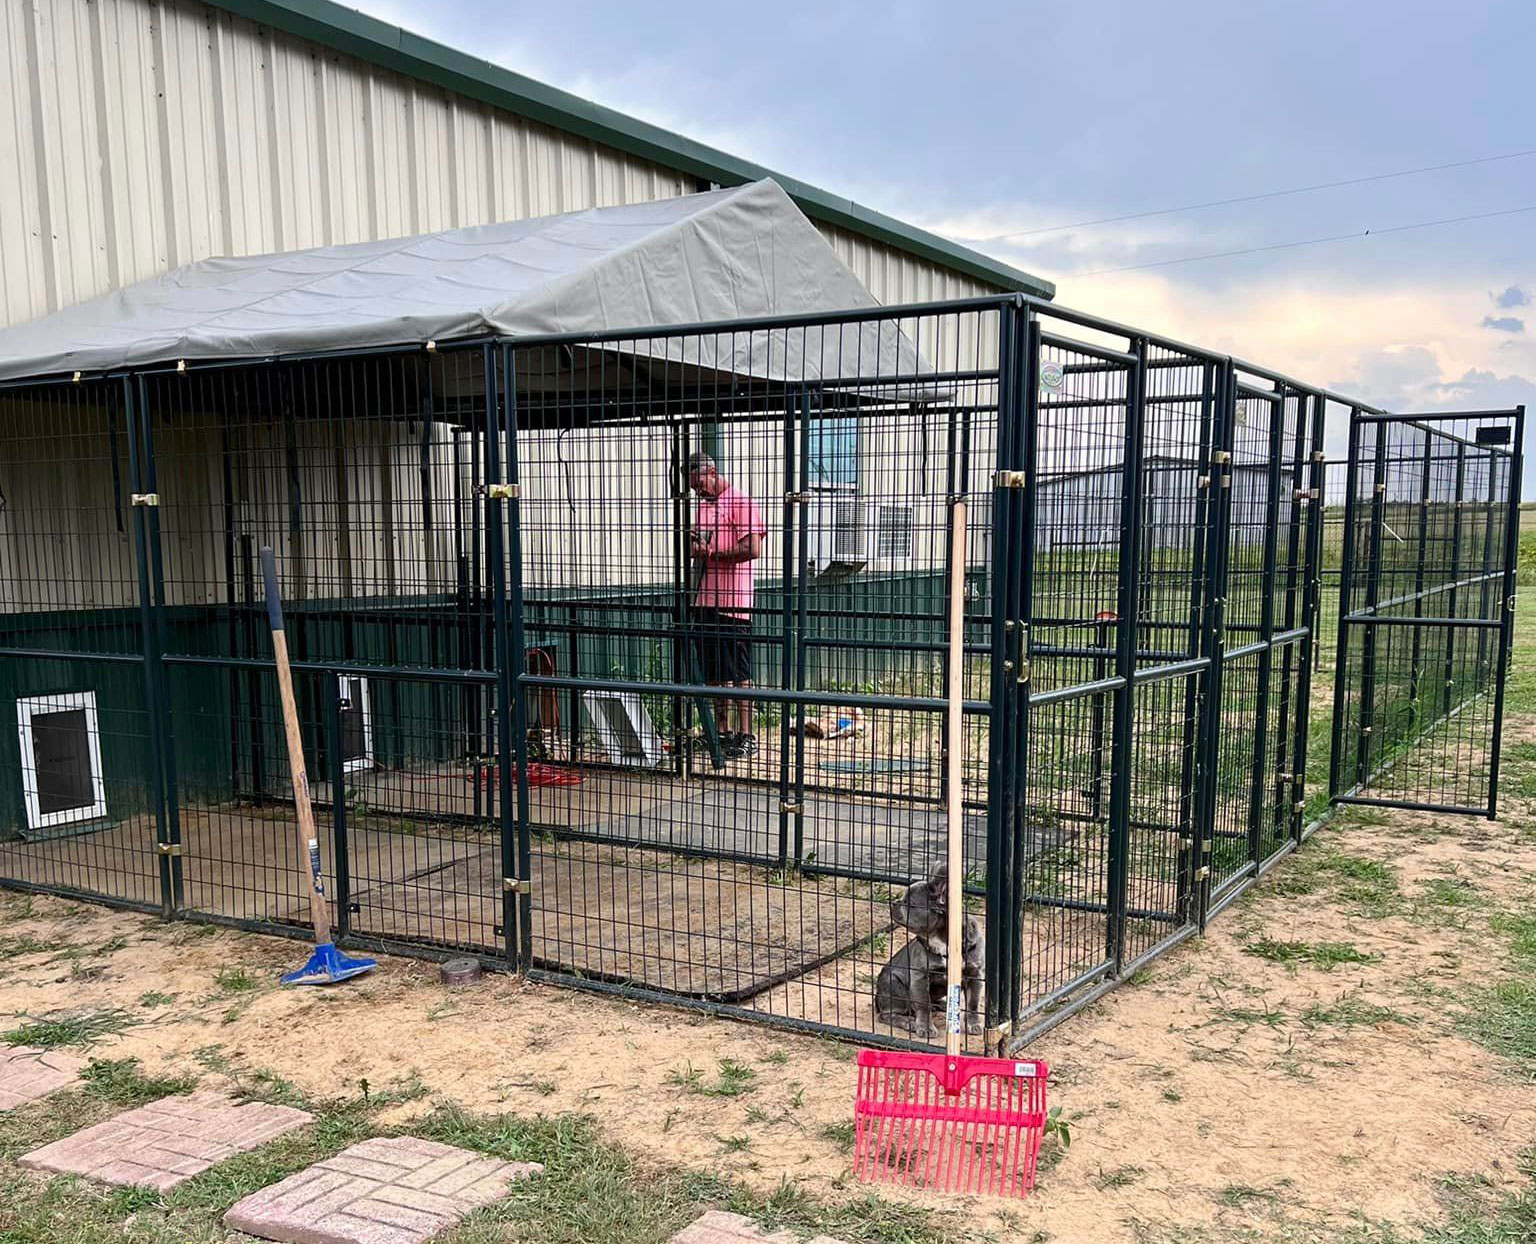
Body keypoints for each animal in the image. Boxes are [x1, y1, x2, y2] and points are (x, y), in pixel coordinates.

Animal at [878, 860, 983, 1038]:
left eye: (908, 903)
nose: (894, 902)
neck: (942, 941)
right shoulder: (920, 977)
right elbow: (923, 1005)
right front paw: (926, 1027)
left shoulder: (974, 974)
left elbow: (973, 1003)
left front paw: (973, 1024)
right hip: (894, 985)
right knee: (888, 1014)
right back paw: (908, 1022)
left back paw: (940, 1005)